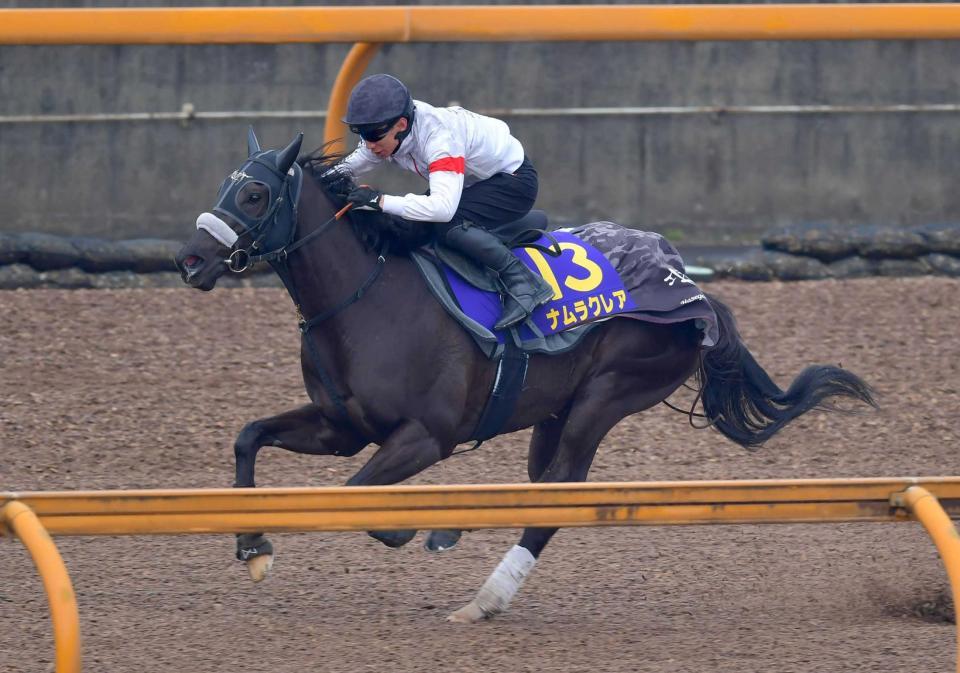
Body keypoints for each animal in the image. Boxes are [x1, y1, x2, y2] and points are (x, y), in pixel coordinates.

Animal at [172, 129, 876, 624]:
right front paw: (252, 545)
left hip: (609, 392)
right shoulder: (342, 427)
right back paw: (457, 539)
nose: (190, 260)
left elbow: (356, 496)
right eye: (224, 187)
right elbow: (249, 435)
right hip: (556, 408)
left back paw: (483, 598)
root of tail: (689, 284)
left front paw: (401, 526)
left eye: (255, 194)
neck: (366, 298)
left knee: (560, 495)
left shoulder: (427, 435)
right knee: (541, 485)